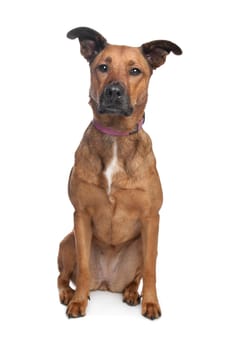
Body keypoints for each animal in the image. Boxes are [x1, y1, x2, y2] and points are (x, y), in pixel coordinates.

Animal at [57, 26, 182, 318]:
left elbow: (150, 269)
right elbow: (82, 267)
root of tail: (105, 283)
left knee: (136, 275)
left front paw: (151, 302)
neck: (115, 136)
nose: (114, 91)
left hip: (139, 244)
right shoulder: (81, 215)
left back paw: (131, 293)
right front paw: (78, 301)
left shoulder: (151, 219)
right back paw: (70, 293)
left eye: (135, 71)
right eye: (103, 67)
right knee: (64, 276)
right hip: (68, 241)